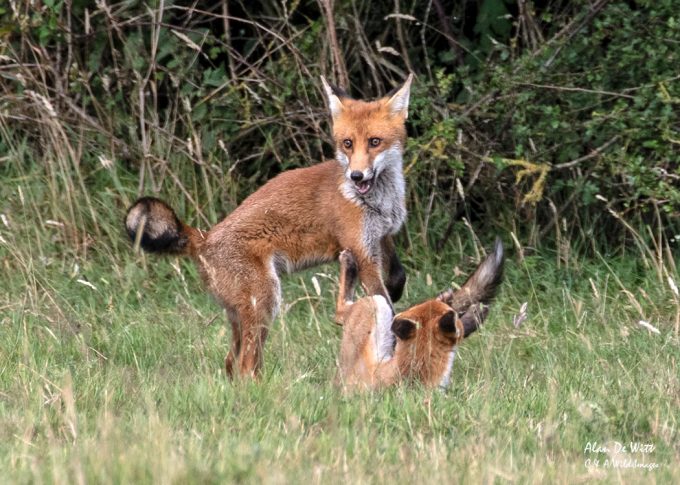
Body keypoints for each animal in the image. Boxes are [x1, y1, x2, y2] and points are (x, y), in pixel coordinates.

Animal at [125, 74, 414, 378]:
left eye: (374, 141)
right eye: (347, 143)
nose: (356, 175)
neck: (378, 203)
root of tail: (203, 237)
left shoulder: (381, 237)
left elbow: (396, 277)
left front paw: (396, 294)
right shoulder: (361, 250)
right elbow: (384, 302)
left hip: (242, 316)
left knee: (231, 363)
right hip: (265, 302)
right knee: (245, 366)